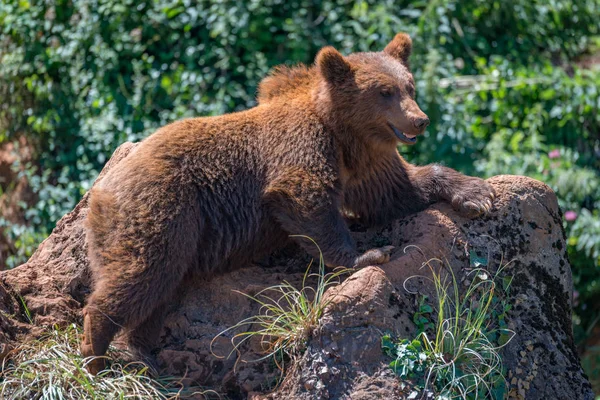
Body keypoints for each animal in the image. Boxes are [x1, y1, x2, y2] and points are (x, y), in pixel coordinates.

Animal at [81, 32, 492, 374]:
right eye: (384, 91)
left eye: (410, 85)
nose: (420, 120)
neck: (345, 136)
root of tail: (101, 189)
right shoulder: (301, 147)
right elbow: (304, 200)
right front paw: (369, 254)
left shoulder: (367, 164)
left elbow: (399, 192)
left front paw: (477, 193)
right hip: (166, 206)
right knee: (143, 271)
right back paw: (96, 356)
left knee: (160, 288)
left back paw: (146, 354)